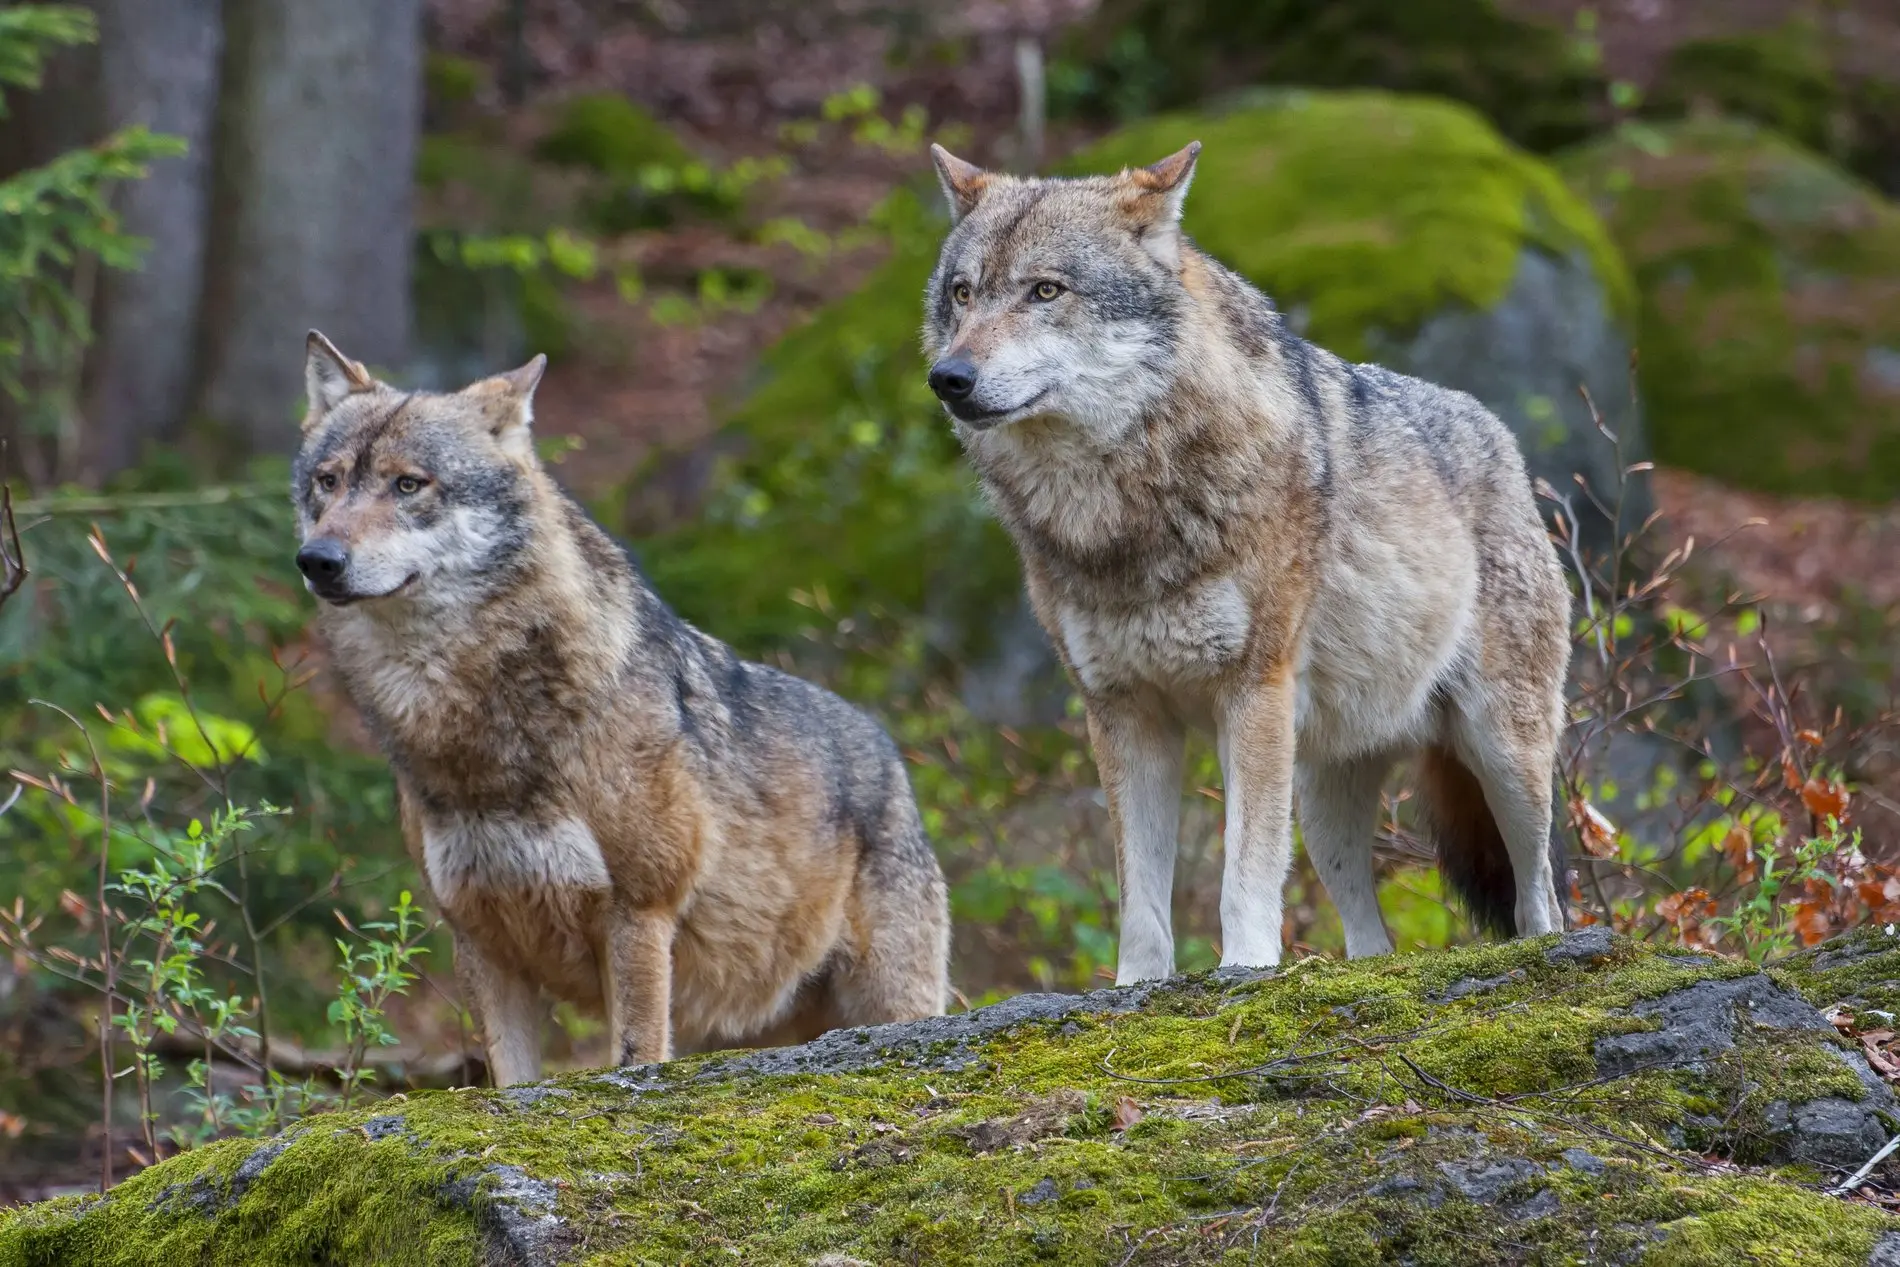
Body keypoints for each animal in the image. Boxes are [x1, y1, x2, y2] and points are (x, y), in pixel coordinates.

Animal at [292, 332, 950, 1086]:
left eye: (408, 484)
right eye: (328, 481)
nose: (317, 559)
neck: (477, 741)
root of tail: (892, 754)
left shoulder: (640, 911)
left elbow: (635, 1055)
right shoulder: (480, 934)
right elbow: (510, 1080)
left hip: (889, 1003)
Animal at [923, 141, 1573, 980]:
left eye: (1045, 290)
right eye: (963, 294)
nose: (950, 378)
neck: (1118, 516)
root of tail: (1504, 441)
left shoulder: (1252, 691)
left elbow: (1244, 874)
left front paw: (1246, 970)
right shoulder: (1123, 712)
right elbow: (1140, 895)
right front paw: (1137, 986)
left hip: (1503, 756)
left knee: (1540, 897)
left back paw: (1549, 947)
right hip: (1324, 799)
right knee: (1370, 934)